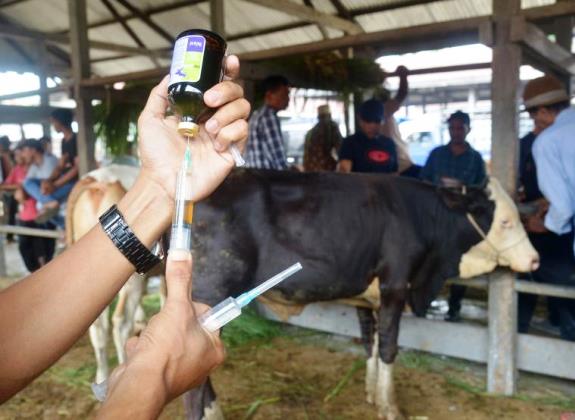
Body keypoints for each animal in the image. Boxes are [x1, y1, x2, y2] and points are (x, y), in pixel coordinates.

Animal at [186, 170, 540, 420]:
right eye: (505, 221)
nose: (535, 260)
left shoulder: (367, 298)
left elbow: (370, 341)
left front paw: (372, 393)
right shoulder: (395, 286)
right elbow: (388, 347)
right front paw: (390, 407)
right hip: (211, 296)